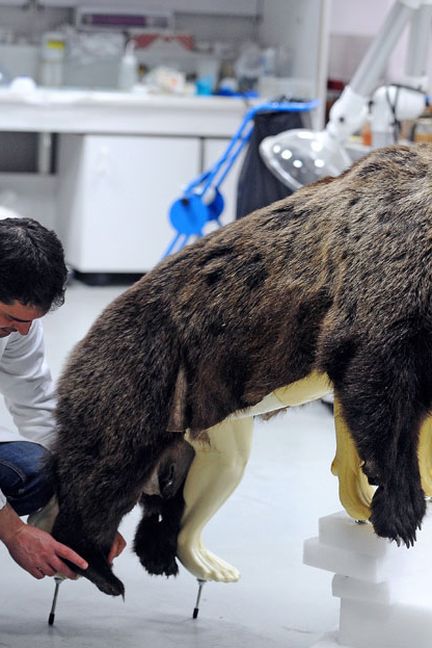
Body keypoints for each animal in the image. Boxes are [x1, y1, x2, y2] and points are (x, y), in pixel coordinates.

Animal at [49, 143, 432, 596]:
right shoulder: (388, 287)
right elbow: (378, 382)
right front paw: (401, 510)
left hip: (206, 430)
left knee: (179, 496)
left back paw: (170, 557)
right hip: (139, 375)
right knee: (106, 468)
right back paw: (96, 565)